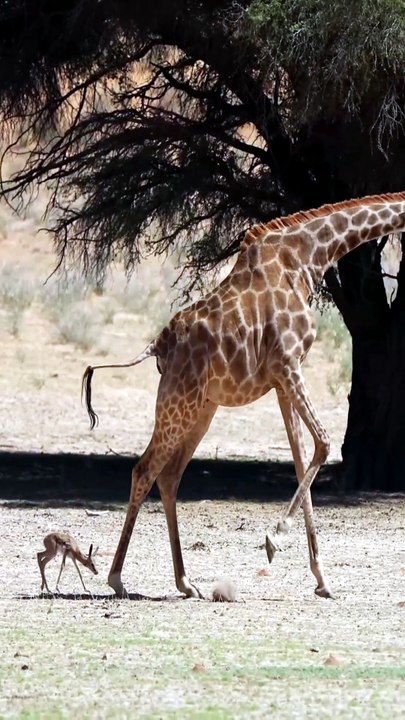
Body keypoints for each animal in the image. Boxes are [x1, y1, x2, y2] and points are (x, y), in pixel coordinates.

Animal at [82, 191, 405, 600]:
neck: (310, 256)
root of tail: (159, 344)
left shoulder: (282, 379)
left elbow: (303, 458)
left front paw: (321, 579)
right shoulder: (289, 365)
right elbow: (324, 443)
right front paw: (275, 539)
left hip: (203, 407)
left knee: (169, 477)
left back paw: (186, 583)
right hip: (178, 403)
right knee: (144, 470)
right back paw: (117, 579)